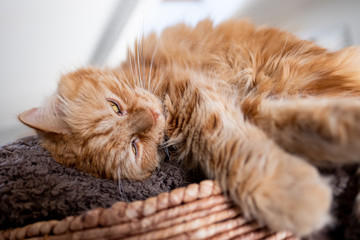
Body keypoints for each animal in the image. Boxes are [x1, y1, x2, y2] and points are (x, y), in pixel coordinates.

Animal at [19, 19, 360, 236]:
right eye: (134, 146)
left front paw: (285, 191)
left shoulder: (196, 94)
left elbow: (227, 143)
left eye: (115, 106)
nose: (152, 115)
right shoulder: (246, 108)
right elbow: (295, 125)